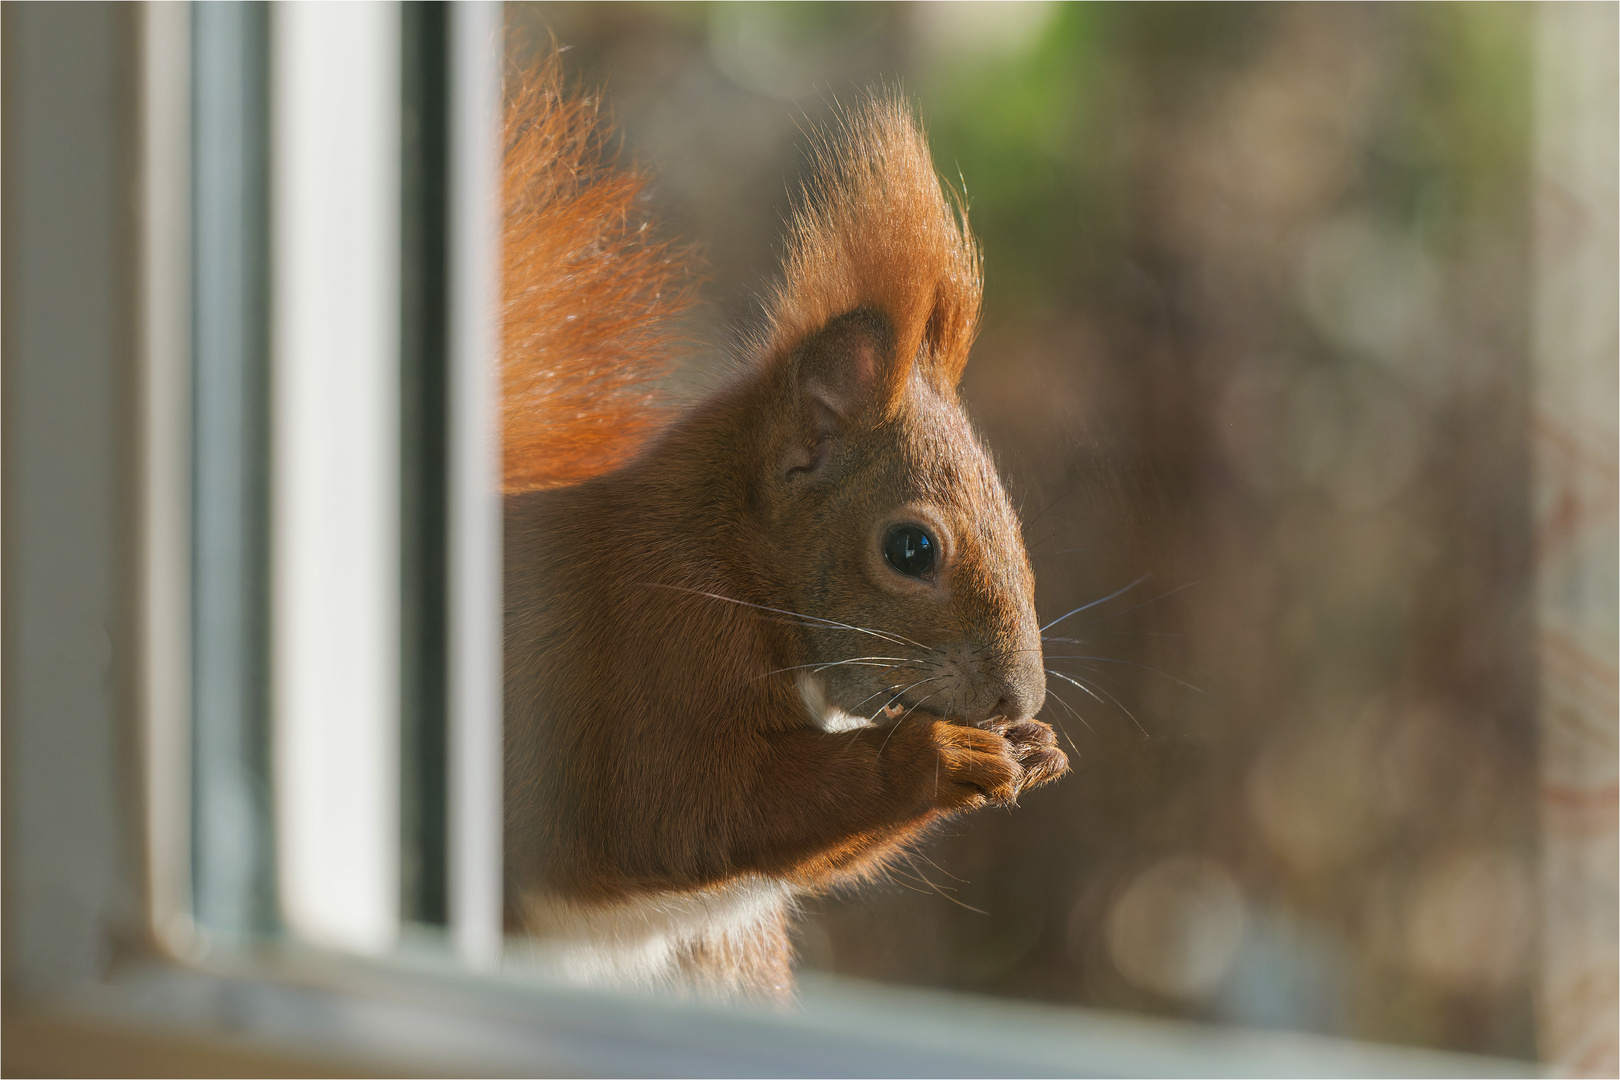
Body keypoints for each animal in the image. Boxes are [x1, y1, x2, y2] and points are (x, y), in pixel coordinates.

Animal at [498, 55, 1069, 1003]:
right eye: (912, 549)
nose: (1017, 699)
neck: (728, 558)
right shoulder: (652, 649)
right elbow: (686, 807)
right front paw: (938, 756)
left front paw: (1035, 746)